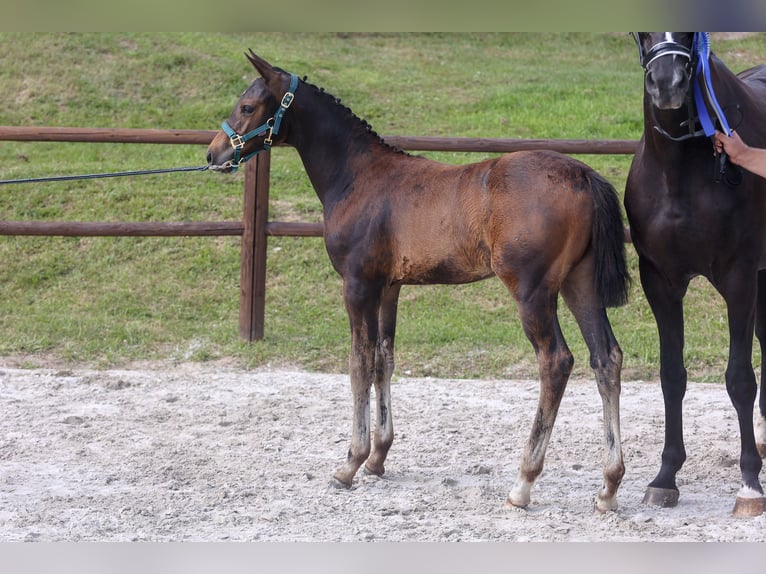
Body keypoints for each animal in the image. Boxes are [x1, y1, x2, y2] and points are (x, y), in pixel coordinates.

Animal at [207, 51, 630, 511]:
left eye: (247, 106)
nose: (213, 154)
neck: (358, 176)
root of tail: (585, 176)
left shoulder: (357, 285)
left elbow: (358, 363)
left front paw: (349, 463)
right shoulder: (388, 287)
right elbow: (383, 359)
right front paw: (377, 458)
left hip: (533, 292)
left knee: (555, 362)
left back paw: (523, 483)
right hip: (579, 283)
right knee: (606, 357)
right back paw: (608, 486)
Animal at [625, 32, 766, 517]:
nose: (666, 82)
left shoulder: (739, 278)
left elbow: (740, 380)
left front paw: (750, 484)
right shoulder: (660, 282)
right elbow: (672, 376)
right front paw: (665, 476)